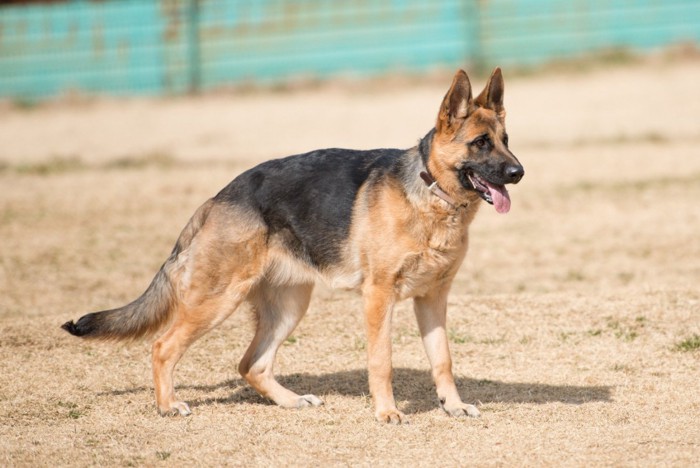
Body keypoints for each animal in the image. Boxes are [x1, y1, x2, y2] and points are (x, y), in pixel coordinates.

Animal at [63, 69, 524, 424]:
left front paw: (453, 406)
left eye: (506, 139)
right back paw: (168, 405)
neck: (431, 195)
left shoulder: (433, 299)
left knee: (251, 364)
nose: (518, 173)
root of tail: (217, 197)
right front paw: (386, 412)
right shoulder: (379, 298)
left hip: (288, 306)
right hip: (218, 300)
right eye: (480, 143)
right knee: (163, 346)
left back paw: (289, 400)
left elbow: (443, 359)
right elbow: (382, 361)